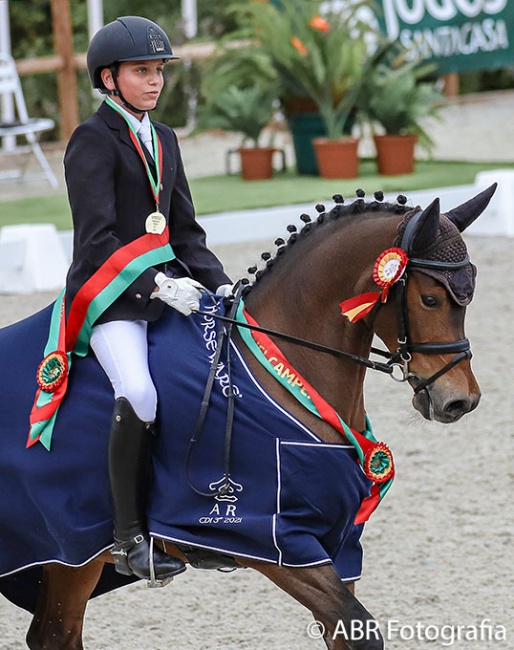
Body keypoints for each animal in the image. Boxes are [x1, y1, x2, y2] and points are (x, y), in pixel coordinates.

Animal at [1, 184, 496, 648]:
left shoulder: (337, 541)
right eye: (431, 299)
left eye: (468, 297)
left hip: (70, 558)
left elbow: (345, 630)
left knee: (53, 634)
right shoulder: (272, 539)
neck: (280, 364)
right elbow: (359, 627)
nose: (460, 400)